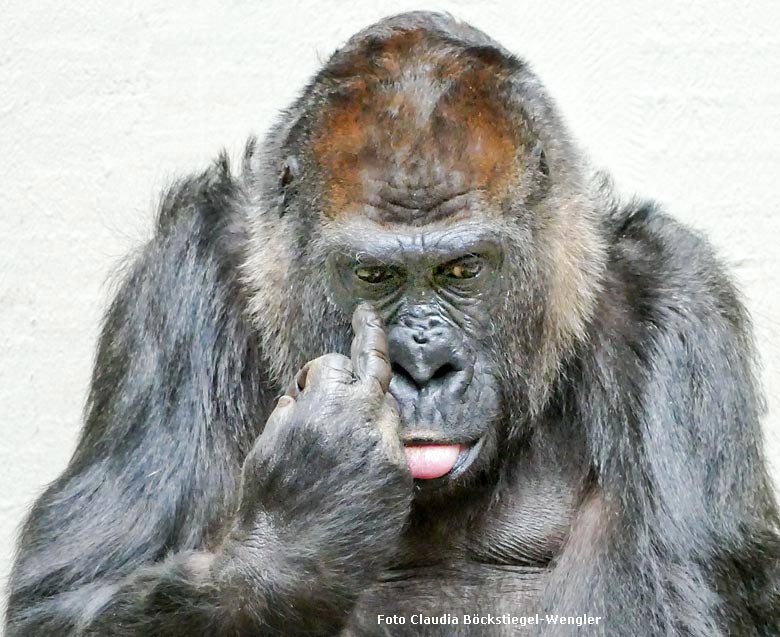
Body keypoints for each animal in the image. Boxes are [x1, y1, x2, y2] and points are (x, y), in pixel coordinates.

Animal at [6, 9, 780, 636]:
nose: (424, 367)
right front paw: (301, 529)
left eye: (463, 270)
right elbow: (60, 600)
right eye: (374, 275)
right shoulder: (178, 279)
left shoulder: (677, 300)